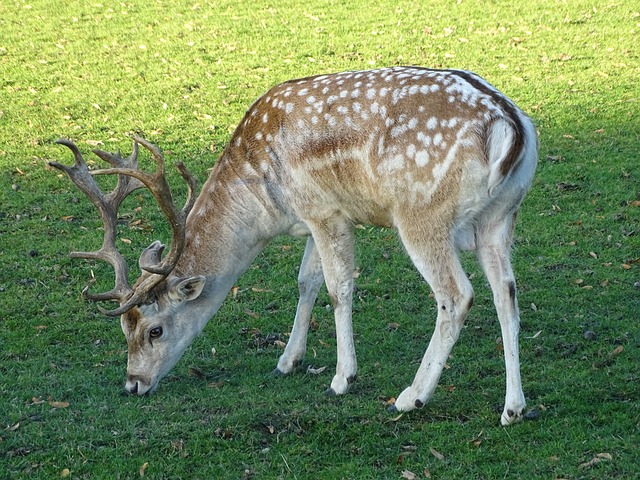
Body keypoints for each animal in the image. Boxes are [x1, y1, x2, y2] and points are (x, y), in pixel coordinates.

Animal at [50, 66, 536, 424]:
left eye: (155, 330)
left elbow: (339, 289)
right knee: (506, 292)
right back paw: (512, 408)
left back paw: (411, 396)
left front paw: (342, 378)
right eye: (123, 328)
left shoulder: (323, 210)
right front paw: (288, 361)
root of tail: (510, 126)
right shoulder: (317, 218)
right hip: (500, 216)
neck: (266, 206)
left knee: (457, 295)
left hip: (422, 214)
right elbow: (306, 282)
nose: (133, 382)